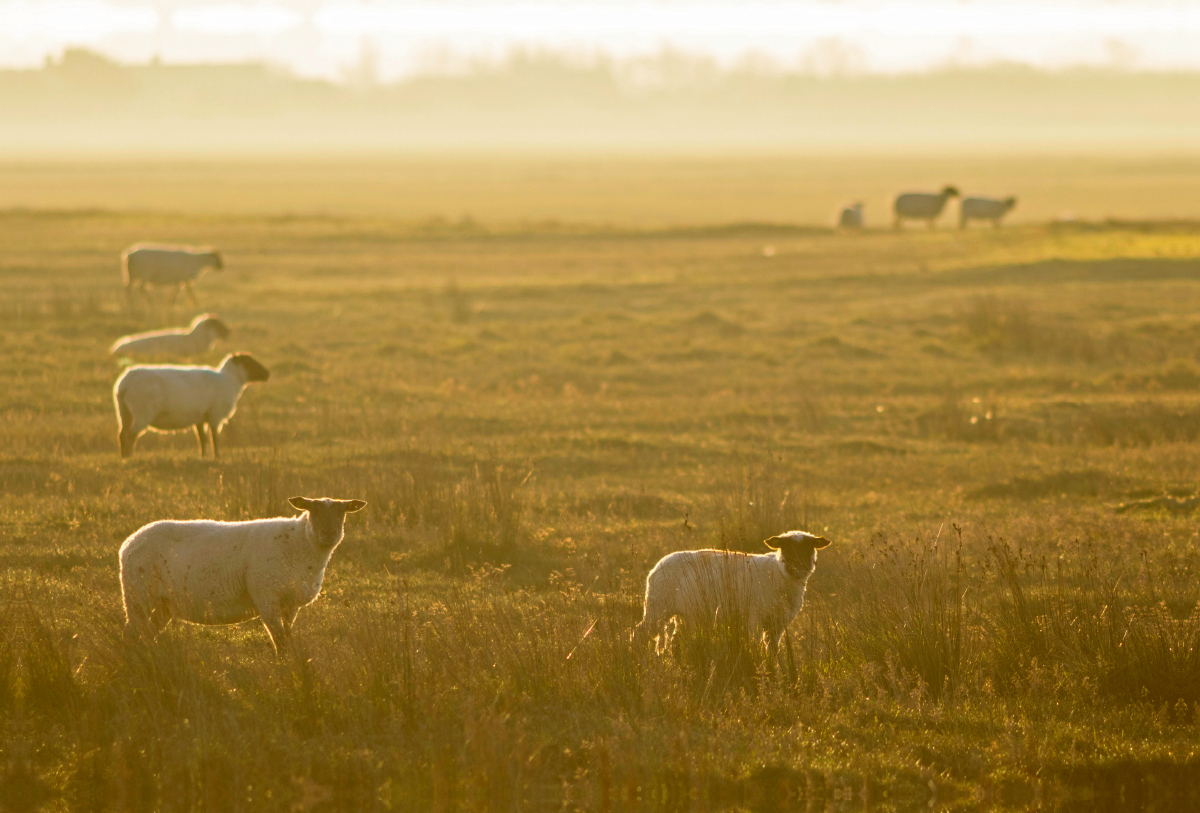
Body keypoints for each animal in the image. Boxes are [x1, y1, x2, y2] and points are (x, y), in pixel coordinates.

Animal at [112, 352, 270, 462]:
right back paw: (129, 456)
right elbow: (214, 437)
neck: (231, 380)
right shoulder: (215, 415)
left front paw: (203, 456)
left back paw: (123, 456)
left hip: (124, 412)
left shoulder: (200, 418)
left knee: (122, 434)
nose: (268, 374)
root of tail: (124, 384)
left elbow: (202, 438)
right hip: (142, 412)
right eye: (249, 362)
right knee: (131, 435)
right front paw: (217, 456)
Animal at [121, 496, 367, 657]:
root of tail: (129, 543)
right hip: (138, 597)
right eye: (312, 510)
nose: (329, 533)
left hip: (162, 604)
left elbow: (288, 637)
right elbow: (280, 641)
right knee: (132, 634)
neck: (300, 543)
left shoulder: (290, 605)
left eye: (342, 513)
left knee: (147, 635)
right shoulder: (266, 598)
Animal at [628, 532, 835, 657]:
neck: (779, 574)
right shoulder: (754, 617)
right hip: (657, 607)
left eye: (808, 548)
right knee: (640, 634)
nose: (798, 568)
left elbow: (772, 650)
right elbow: (755, 645)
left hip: (686, 613)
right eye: (786, 548)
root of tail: (658, 565)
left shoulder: (778, 624)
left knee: (675, 641)